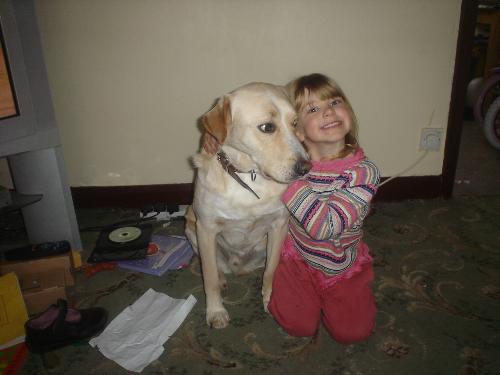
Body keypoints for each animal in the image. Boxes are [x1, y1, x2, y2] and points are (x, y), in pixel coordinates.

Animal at [185, 83, 308, 328]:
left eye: (295, 123)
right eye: (267, 127)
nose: (306, 167)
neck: (248, 175)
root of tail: (239, 268)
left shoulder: (279, 226)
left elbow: (271, 271)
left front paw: (270, 302)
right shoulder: (206, 228)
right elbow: (209, 278)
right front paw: (215, 311)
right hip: (191, 228)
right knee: (212, 267)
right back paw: (223, 279)